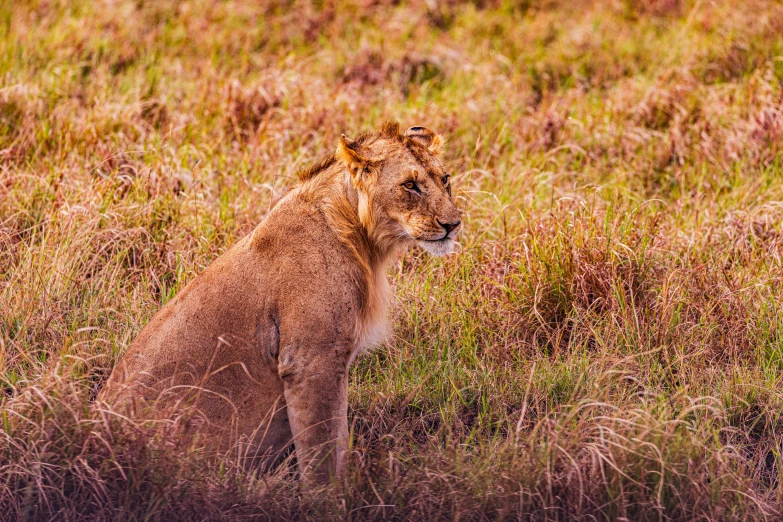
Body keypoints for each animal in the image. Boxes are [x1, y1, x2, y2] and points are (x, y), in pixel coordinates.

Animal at [100, 121, 462, 480]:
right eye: (410, 185)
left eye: (444, 179)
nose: (453, 224)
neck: (361, 239)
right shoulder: (311, 362)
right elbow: (324, 454)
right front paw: (332, 495)